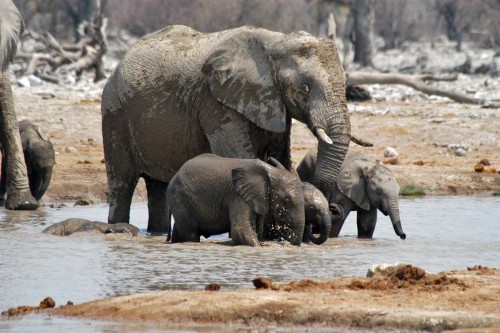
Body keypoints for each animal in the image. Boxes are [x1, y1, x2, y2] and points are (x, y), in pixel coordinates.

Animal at [101, 24, 352, 232]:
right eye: (305, 87)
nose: (332, 209)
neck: (277, 41)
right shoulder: (216, 103)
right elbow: (239, 156)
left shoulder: (272, 102)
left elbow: (280, 156)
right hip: (114, 113)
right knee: (122, 182)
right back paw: (118, 226)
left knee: (157, 186)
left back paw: (157, 232)